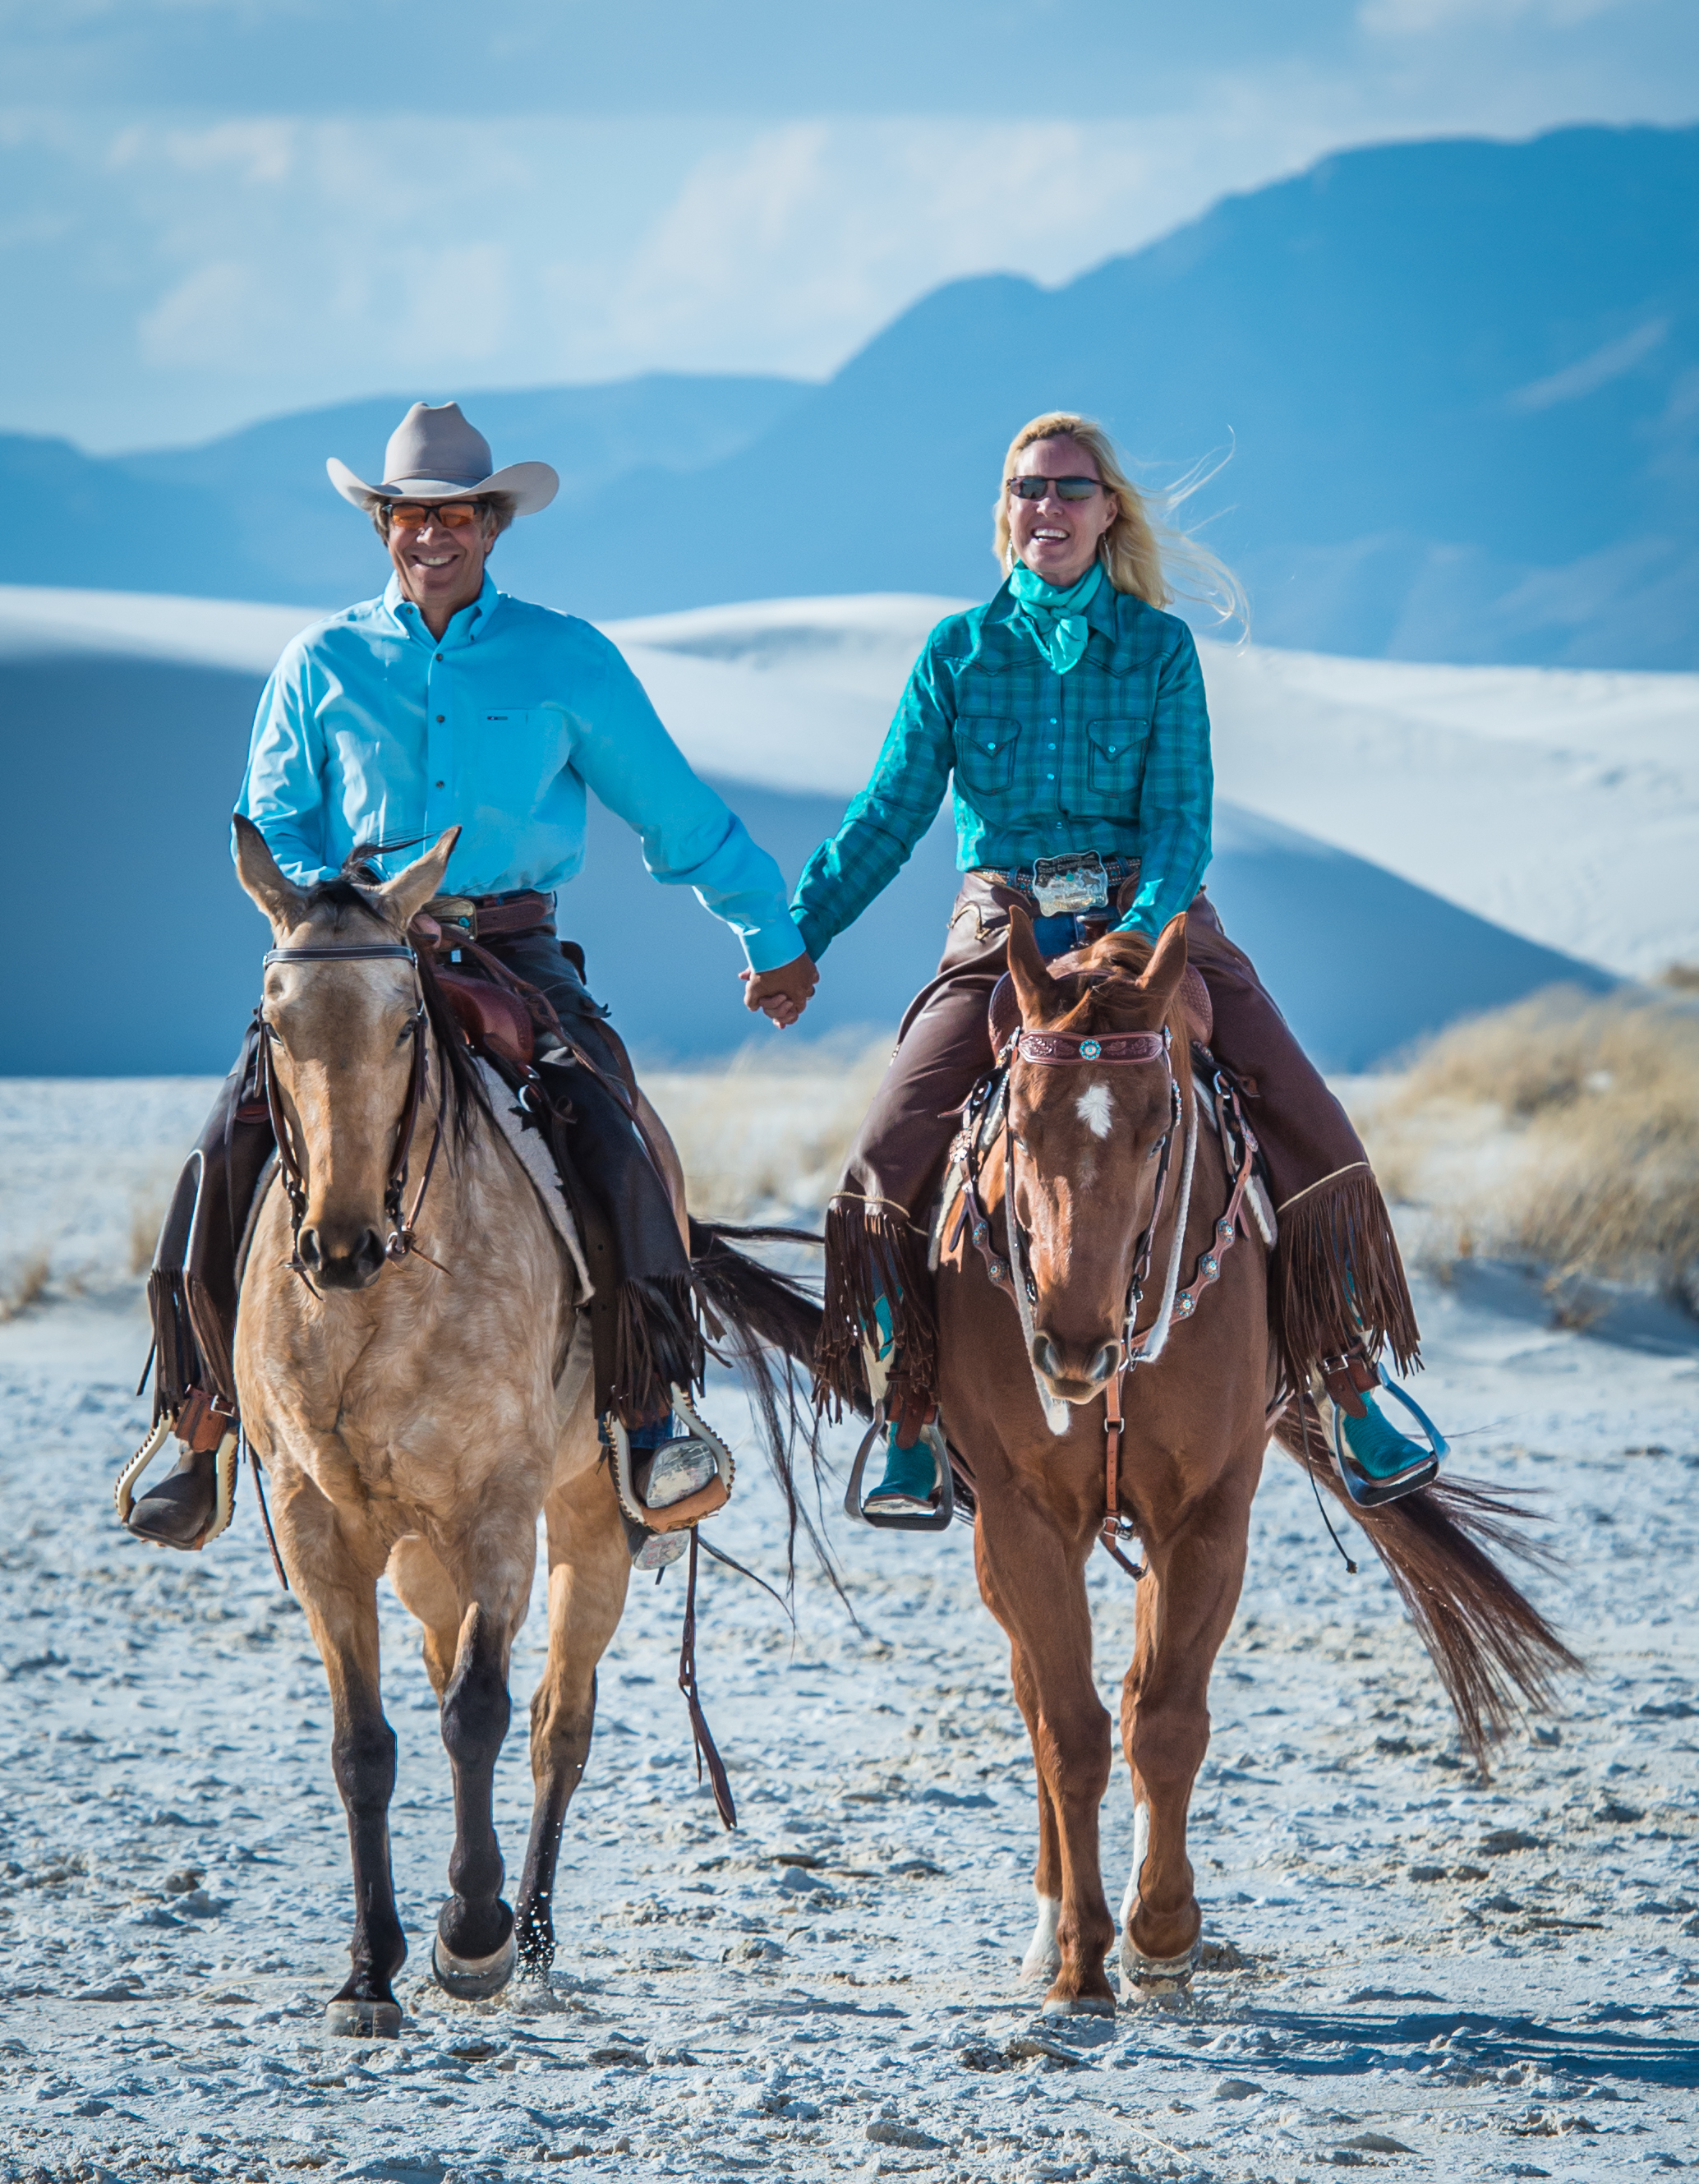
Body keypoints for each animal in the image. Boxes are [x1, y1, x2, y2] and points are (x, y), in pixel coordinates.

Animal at [221, 821, 817, 2026]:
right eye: (275, 1022)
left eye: (406, 1022)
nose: (338, 1243)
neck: (375, 1302)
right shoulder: (317, 1528)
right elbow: (363, 1744)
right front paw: (368, 1970)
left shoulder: (496, 1508)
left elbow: (480, 1714)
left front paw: (472, 1932)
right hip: (416, 1554)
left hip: (586, 1520)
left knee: (556, 1722)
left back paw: (531, 1932)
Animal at [921, 904, 1572, 2009]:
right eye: (1019, 1124)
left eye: (1159, 1127)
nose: (1068, 1346)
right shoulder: (1020, 1518)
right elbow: (1068, 1730)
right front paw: (1080, 1958)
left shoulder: (1207, 1514)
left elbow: (1165, 1721)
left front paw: (1160, 1931)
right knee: (1042, 1703)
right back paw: (1048, 1929)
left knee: (1133, 1698)